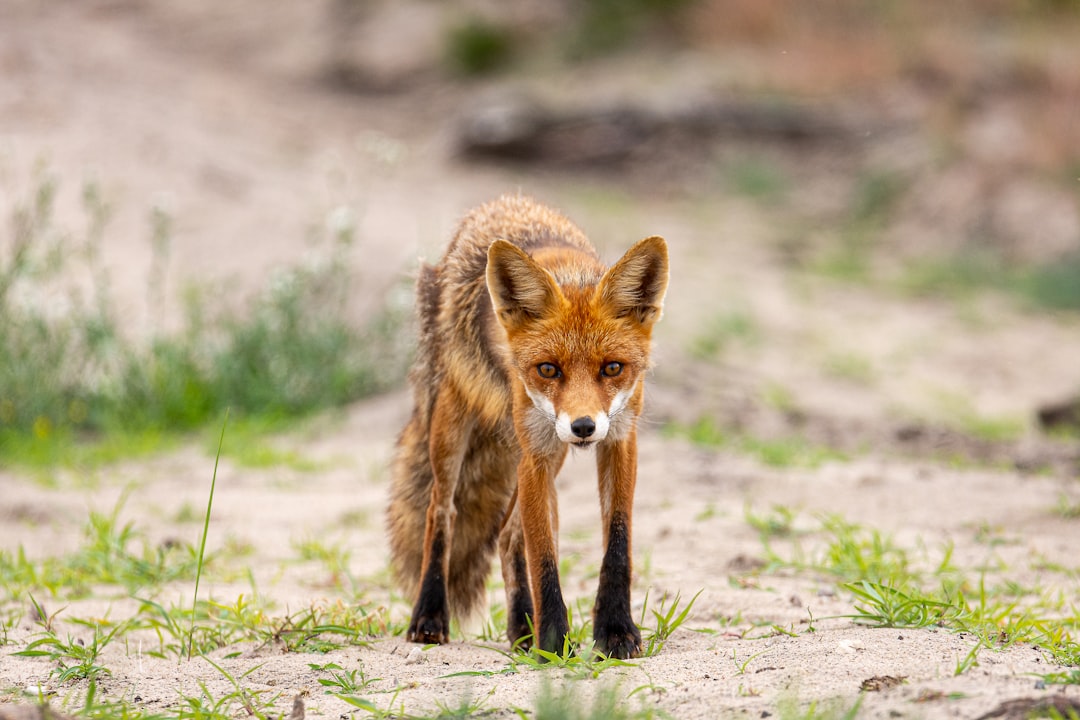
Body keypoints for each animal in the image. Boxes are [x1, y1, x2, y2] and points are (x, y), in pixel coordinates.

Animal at [384, 193, 669, 660]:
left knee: (506, 535)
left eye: (613, 368)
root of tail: (499, 202)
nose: (584, 426)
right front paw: (553, 642)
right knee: (441, 512)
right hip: (454, 427)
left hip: (549, 450)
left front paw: (614, 632)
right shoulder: (535, 453)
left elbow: (616, 543)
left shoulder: (619, 440)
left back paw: (521, 627)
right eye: (548, 369)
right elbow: (543, 557)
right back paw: (429, 616)